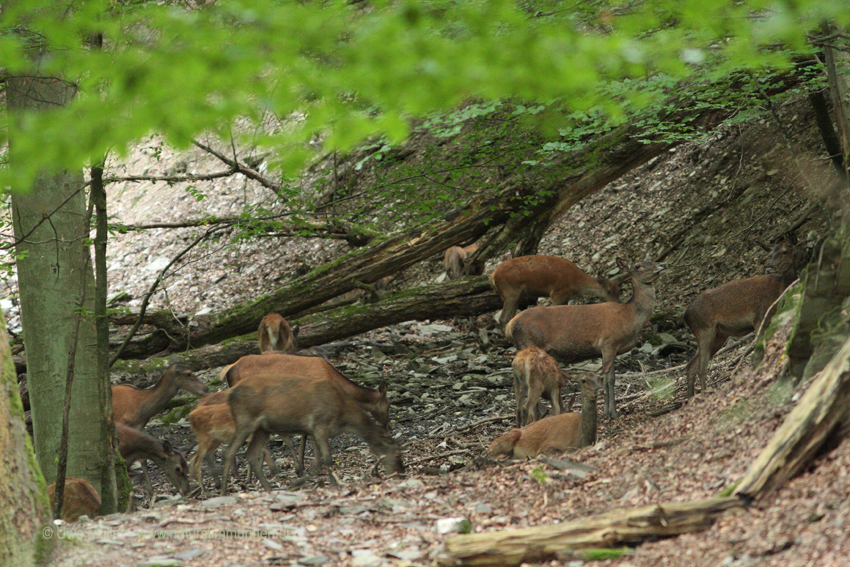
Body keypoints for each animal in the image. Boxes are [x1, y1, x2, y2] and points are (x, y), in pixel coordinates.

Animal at [219, 374, 404, 494]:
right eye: (397, 453)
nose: (401, 474)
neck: (343, 417)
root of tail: (230, 395)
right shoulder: (319, 424)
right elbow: (328, 459)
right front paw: (334, 484)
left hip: (263, 429)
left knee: (250, 454)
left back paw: (269, 489)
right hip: (245, 420)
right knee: (229, 452)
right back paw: (223, 492)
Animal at [486, 256, 620, 330]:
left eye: (618, 290)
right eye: (609, 291)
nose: (618, 303)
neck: (576, 283)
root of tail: (492, 277)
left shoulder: (565, 297)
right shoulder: (557, 293)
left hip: (515, 296)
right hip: (510, 292)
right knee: (503, 318)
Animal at [504, 260, 664, 420]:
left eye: (650, 260)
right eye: (638, 265)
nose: (662, 265)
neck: (630, 316)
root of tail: (509, 326)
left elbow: (604, 378)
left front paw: (605, 411)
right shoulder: (609, 342)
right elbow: (610, 379)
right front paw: (613, 413)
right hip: (529, 342)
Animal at [684, 242, 796, 398]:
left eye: (785, 251)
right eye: (770, 254)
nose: (770, 267)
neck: (780, 290)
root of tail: (685, 315)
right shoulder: (760, 317)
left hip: (719, 335)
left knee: (690, 366)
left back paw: (690, 397)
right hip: (705, 329)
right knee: (701, 367)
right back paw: (705, 393)